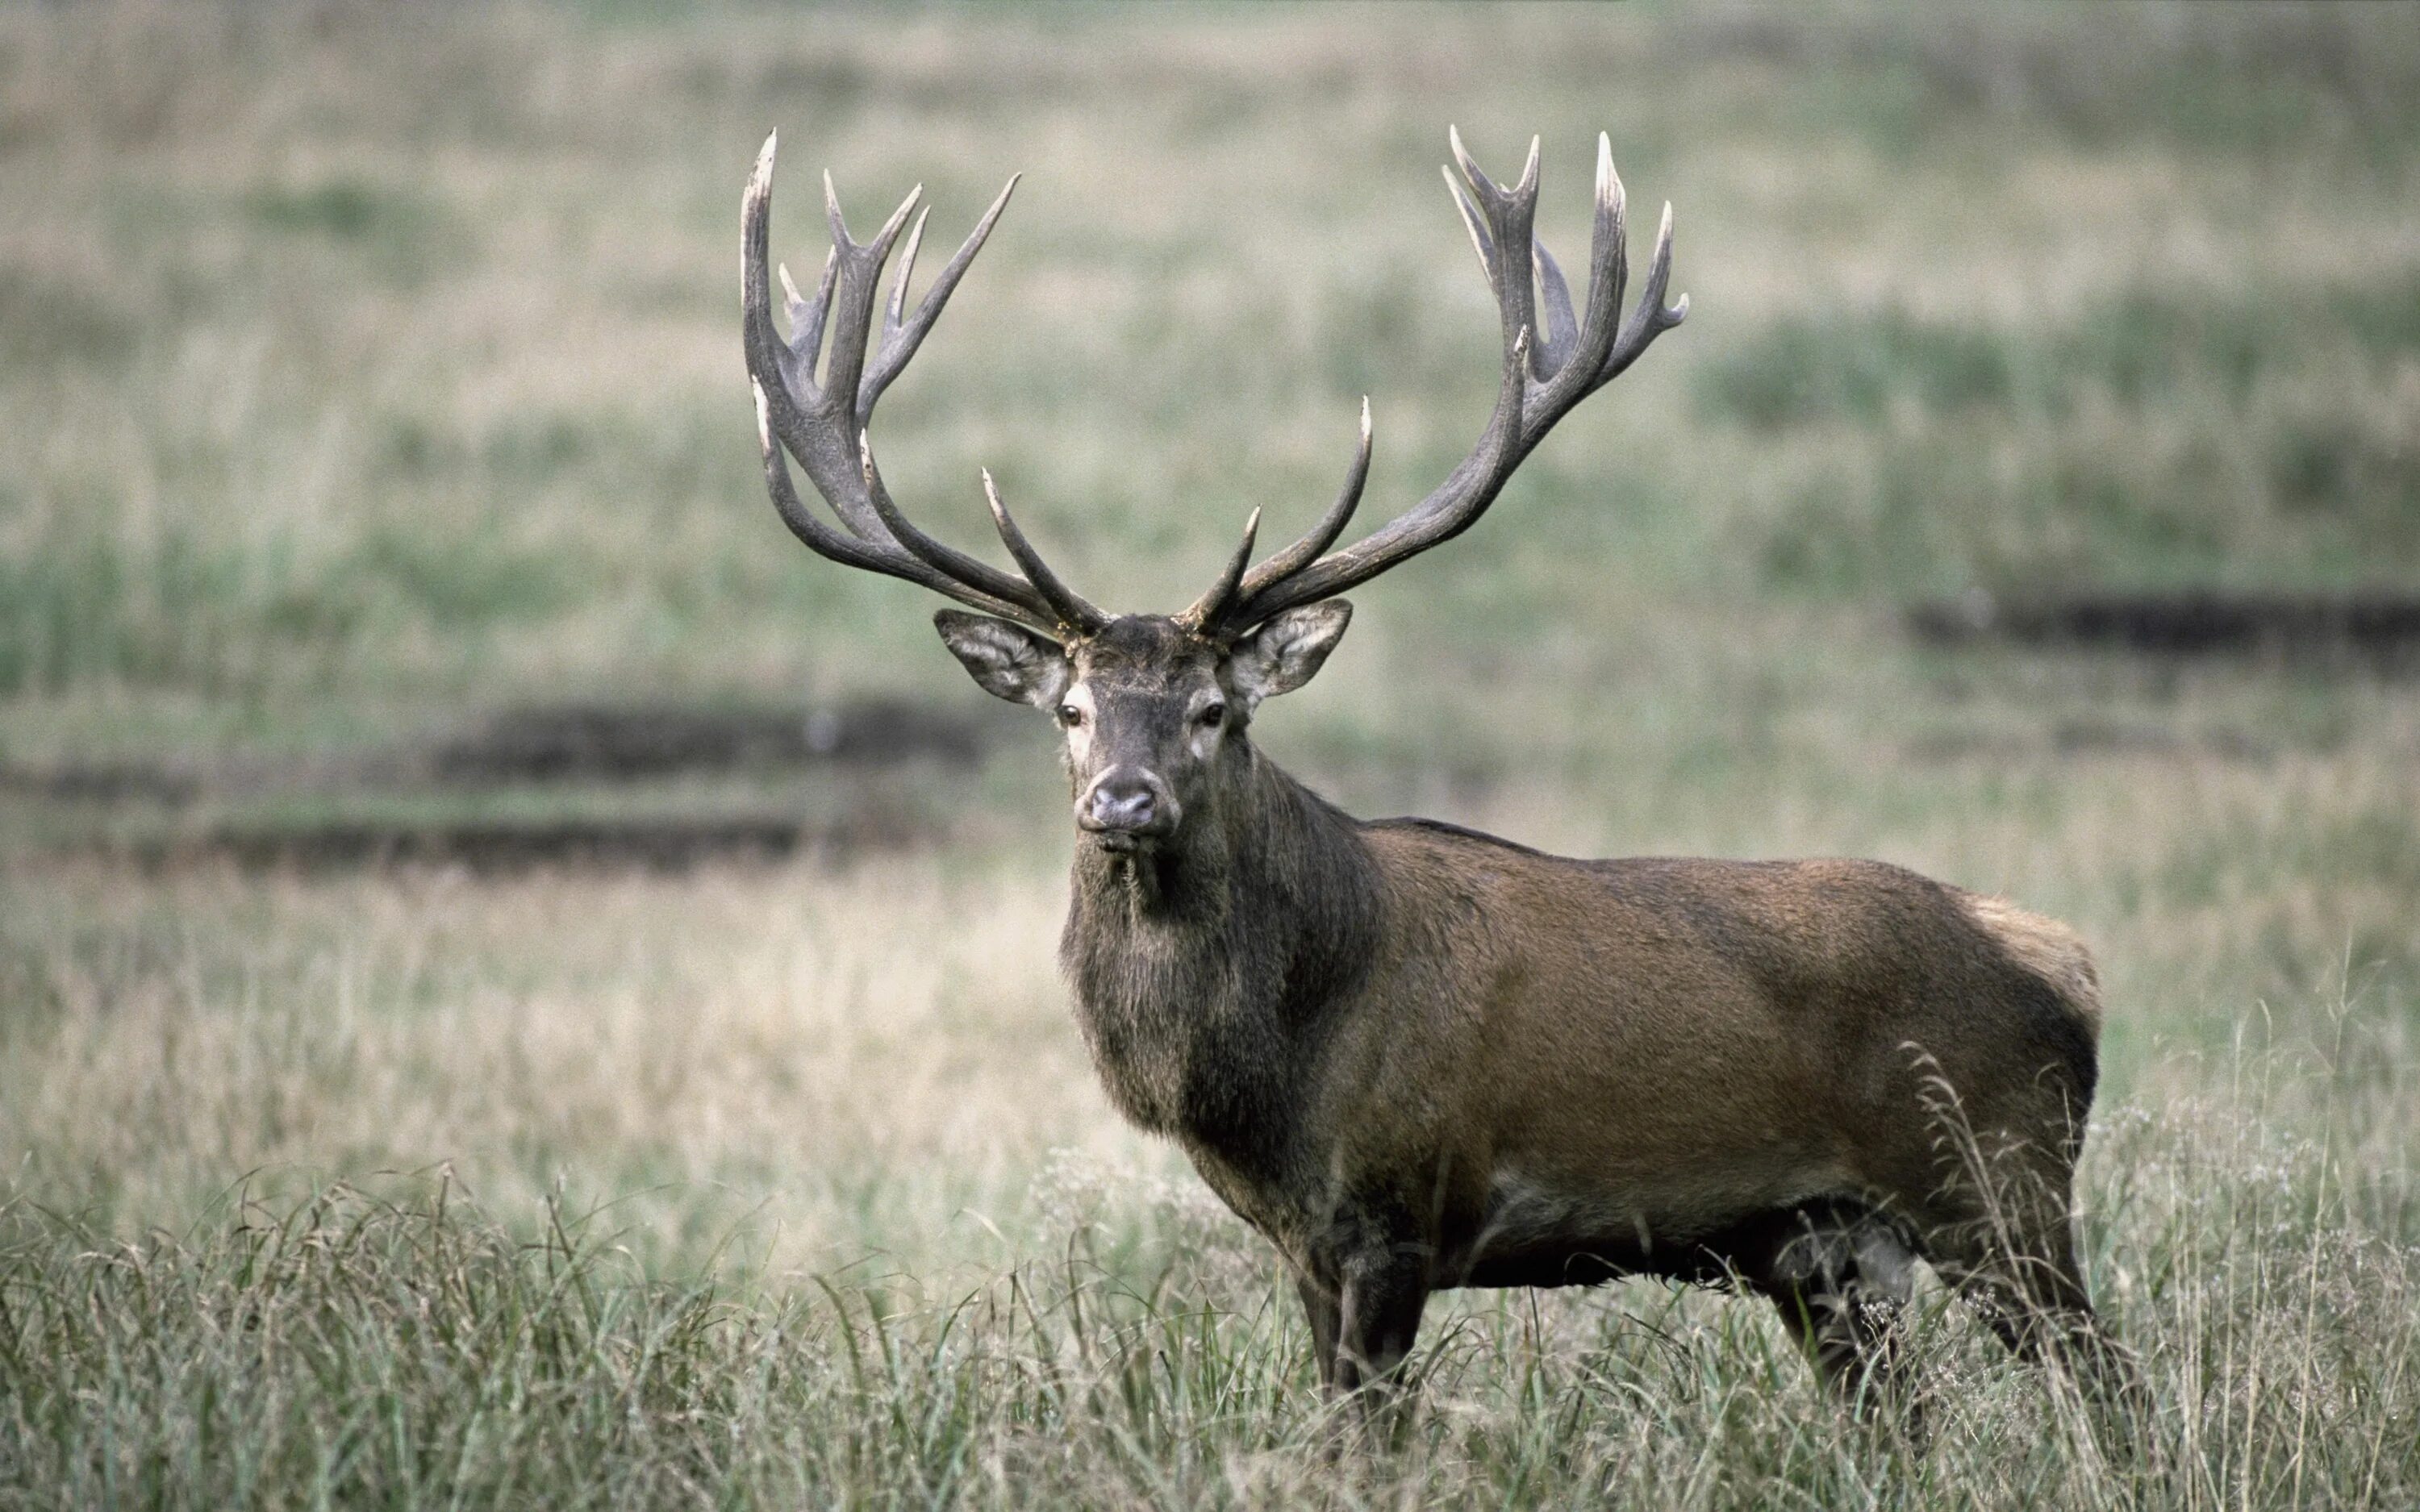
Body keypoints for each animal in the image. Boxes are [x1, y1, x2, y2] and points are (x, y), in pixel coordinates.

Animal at [736, 127, 2139, 1413]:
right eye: (1072, 709)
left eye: (1213, 709)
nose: (1121, 800)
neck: (1273, 1072)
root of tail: (2062, 956)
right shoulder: (1303, 1240)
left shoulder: (1398, 1207)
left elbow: (1364, 1438)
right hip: (1823, 1248)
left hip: (1996, 1180)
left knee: (2111, 1387)